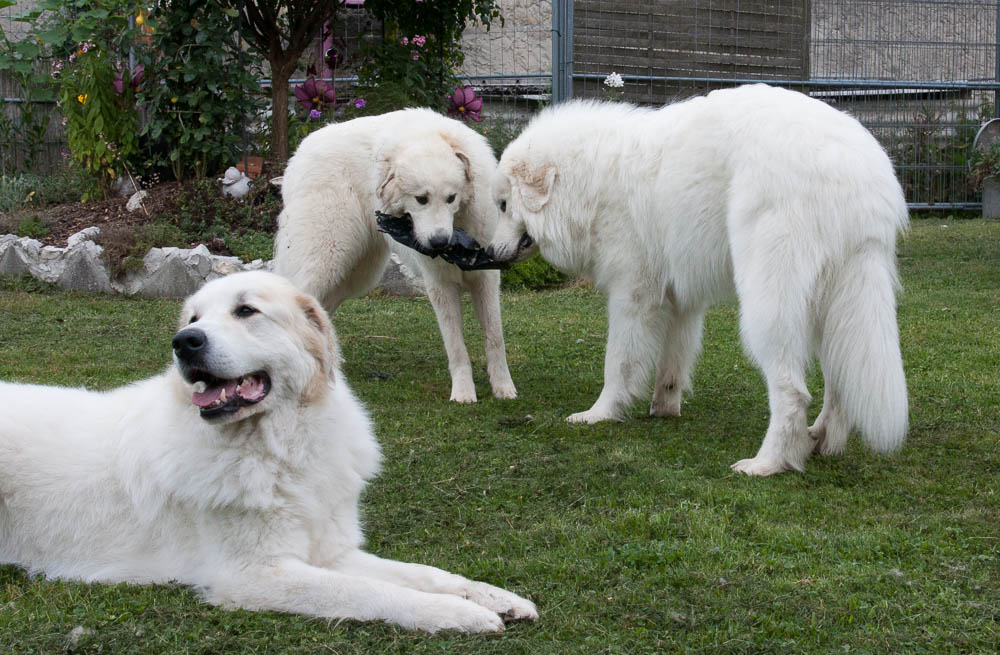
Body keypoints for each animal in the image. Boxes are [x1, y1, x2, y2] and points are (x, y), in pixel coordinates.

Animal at [0, 270, 540, 632]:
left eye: (246, 311)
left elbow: (425, 573)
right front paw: (458, 614)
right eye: (194, 318)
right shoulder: (255, 575)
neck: (281, 448)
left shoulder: (330, 549)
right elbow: (375, 591)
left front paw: (493, 596)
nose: (184, 341)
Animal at [278, 109, 520, 404]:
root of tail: (302, 148)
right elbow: (456, 346)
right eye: (421, 199)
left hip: (357, 274)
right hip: (325, 259)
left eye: (451, 198)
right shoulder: (440, 285)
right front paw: (463, 392)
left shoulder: (486, 279)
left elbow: (495, 338)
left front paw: (504, 387)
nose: (439, 242)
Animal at [488, 86, 912, 476]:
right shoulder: (680, 300)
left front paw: (600, 414)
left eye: (504, 205)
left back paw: (768, 463)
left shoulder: (633, 294)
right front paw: (663, 408)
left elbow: (618, 363)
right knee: (838, 381)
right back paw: (822, 441)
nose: (489, 252)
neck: (591, 179)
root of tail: (854, 161)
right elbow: (672, 362)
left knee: (792, 391)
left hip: (768, 302)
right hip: (834, 303)